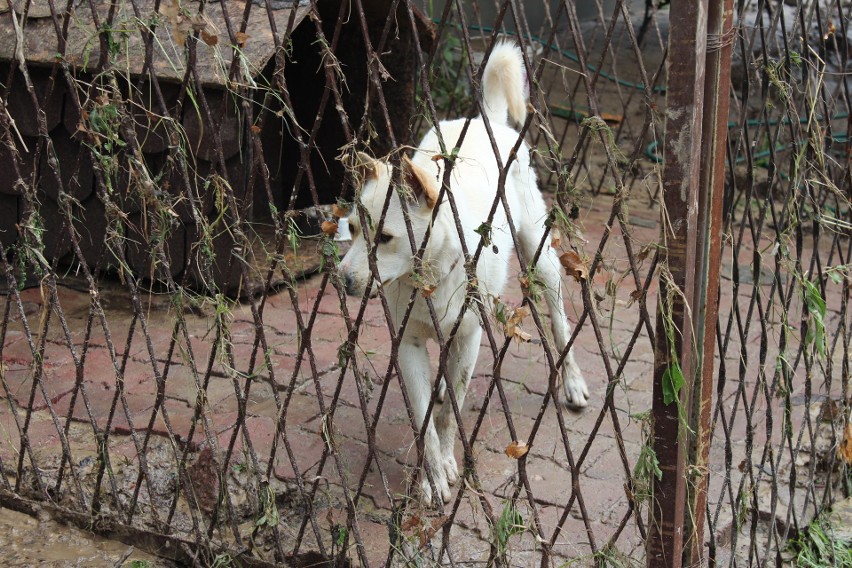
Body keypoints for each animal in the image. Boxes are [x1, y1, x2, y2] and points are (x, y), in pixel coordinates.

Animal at [336, 41, 588, 502]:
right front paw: (433, 475)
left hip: (540, 258)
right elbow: (424, 422)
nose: (342, 281)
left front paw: (448, 463)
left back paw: (572, 382)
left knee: (561, 323)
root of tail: (486, 118)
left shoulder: (470, 339)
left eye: (385, 237)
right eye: (353, 229)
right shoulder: (408, 347)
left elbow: (449, 415)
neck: (432, 278)